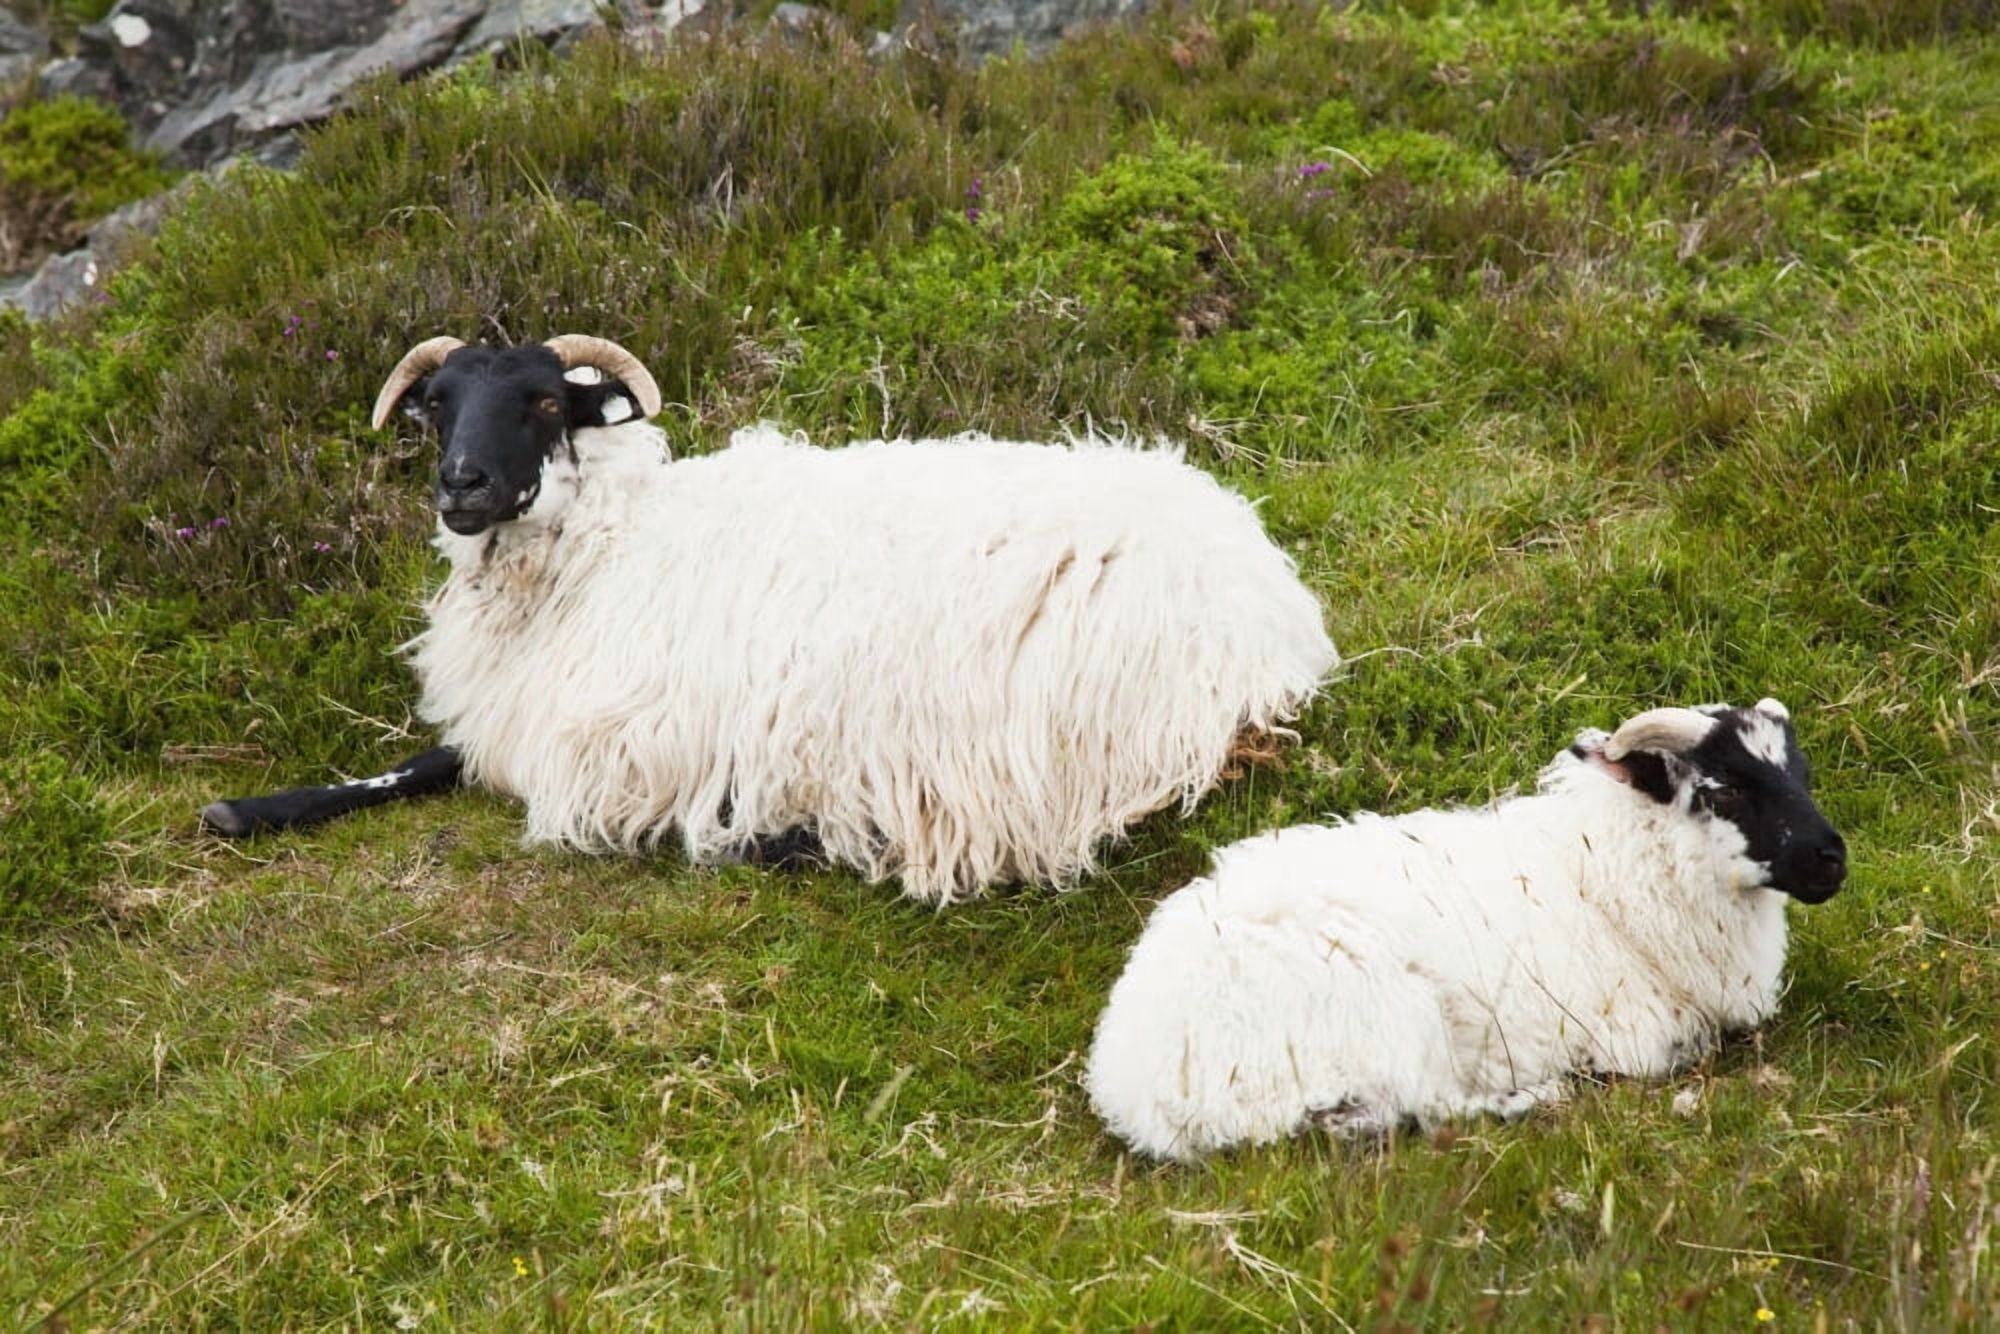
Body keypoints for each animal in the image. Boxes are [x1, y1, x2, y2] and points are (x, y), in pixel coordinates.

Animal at [201, 334, 1338, 904]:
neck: (607, 545)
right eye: (436, 402)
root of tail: (1264, 620)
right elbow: (426, 759)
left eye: (545, 402)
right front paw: (253, 807)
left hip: (986, 745)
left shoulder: (612, 745)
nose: (462, 486)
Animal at [1085, 699, 1847, 1160]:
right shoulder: (1637, 1032)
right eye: (1726, 790)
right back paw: (1530, 1097)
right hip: (1387, 1009)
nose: (1832, 858)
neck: (1609, 874)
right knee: (1420, 1107)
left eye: (1803, 775)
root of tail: (1135, 1086)